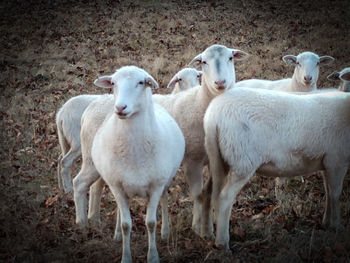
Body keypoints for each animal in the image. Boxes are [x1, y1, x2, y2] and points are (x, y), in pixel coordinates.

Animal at [54, 68, 198, 195]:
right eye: (180, 79)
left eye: (198, 75)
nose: (195, 87)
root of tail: (61, 112)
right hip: (79, 143)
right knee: (66, 162)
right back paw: (68, 188)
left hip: (67, 141)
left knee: (60, 159)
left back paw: (61, 186)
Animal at [72, 65, 185, 262]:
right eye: (113, 83)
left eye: (141, 82)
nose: (120, 107)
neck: (134, 150)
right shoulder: (117, 185)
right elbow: (126, 224)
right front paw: (126, 256)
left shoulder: (156, 185)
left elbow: (151, 222)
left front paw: (153, 256)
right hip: (93, 163)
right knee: (81, 184)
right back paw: (90, 226)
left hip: (164, 179)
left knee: (164, 198)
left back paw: (165, 232)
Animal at [204, 87, 348, 250]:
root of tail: (213, 114)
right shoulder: (337, 160)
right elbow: (335, 194)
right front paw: (337, 227)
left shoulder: (327, 163)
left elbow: (328, 192)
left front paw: (326, 223)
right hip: (242, 160)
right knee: (224, 198)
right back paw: (223, 244)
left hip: (218, 159)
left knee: (210, 194)